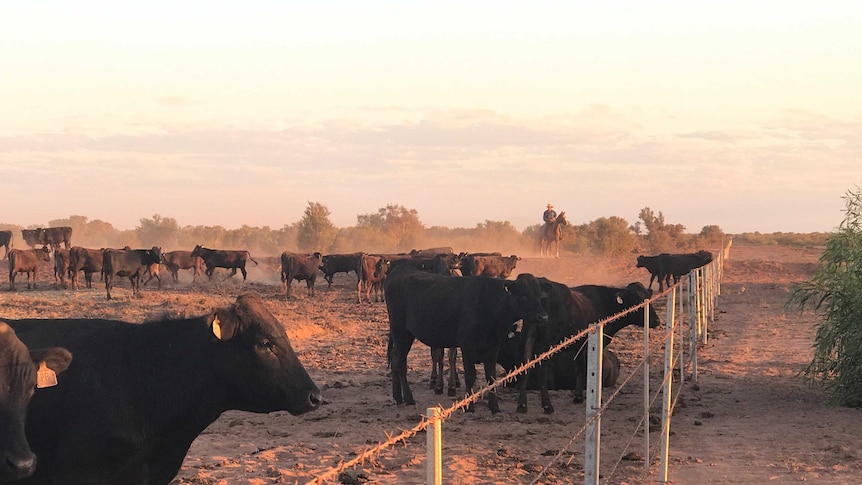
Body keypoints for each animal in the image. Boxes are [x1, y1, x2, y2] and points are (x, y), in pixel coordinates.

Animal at [388, 264, 552, 412]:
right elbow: (470, 375)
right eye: (524, 296)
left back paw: (398, 397)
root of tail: (400, 270)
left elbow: (491, 376)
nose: (543, 317)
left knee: (395, 360)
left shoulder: (494, 346)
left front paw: (494, 407)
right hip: (400, 330)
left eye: (539, 295)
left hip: (405, 334)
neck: (489, 303)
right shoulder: (467, 346)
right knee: (400, 363)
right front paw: (469, 406)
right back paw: (409, 398)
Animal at [500, 280, 660, 412]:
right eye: (635, 298)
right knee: (542, 369)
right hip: (546, 342)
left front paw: (577, 396)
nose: (656, 320)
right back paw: (547, 406)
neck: (604, 303)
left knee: (525, 363)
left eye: (648, 297)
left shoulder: (580, 346)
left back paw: (522, 405)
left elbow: (580, 368)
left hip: (529, 337)